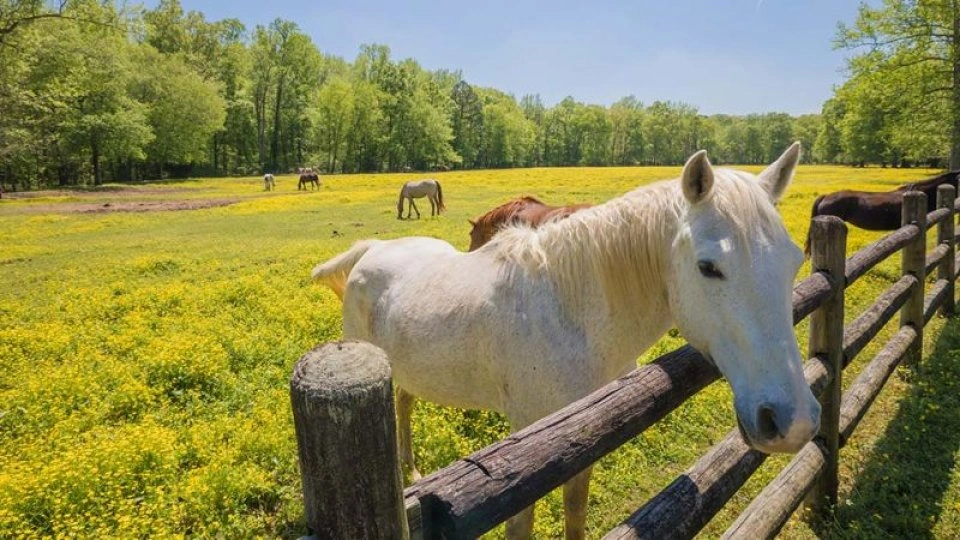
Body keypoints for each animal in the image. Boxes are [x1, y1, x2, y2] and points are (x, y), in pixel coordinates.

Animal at [312, 144, 818, 539]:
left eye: (795, 260)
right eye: (709, 267)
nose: (792, 420)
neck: (568, 311)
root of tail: (373, 249)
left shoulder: (582, 435)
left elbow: (575, 508)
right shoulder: (524, 445)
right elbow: (521, 524)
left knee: (404, 403)